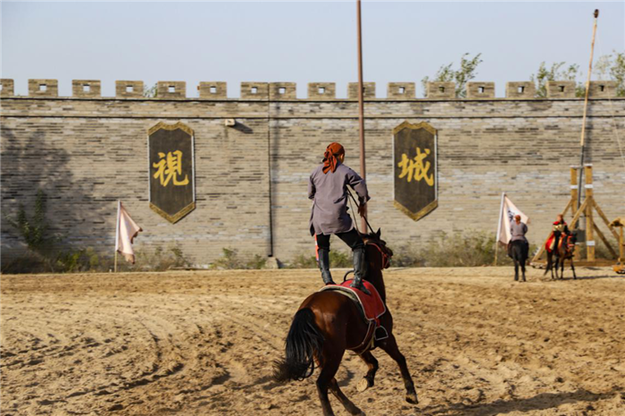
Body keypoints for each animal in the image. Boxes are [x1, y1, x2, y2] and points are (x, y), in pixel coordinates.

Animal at [272, 229, 414, 416]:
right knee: (322, 383)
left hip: (321, 354)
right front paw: (411, 393)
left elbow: (373, 363)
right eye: (382, 242)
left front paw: (366, 381)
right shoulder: (387, 338)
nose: (390, 252)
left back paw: (355, 409)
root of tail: (309, 308)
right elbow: (400, 359)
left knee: (331, 383)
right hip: (334, 354)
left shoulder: (359, 345)